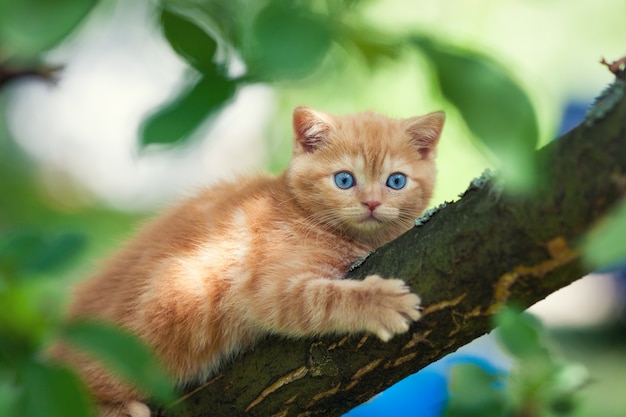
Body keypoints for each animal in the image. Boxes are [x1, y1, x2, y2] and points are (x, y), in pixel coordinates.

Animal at [52, 105, 444, 414]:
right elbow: (322, 298)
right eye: (345, 180)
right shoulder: (264, 287)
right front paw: (380, 301)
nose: (372, 203)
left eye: (396, 181)